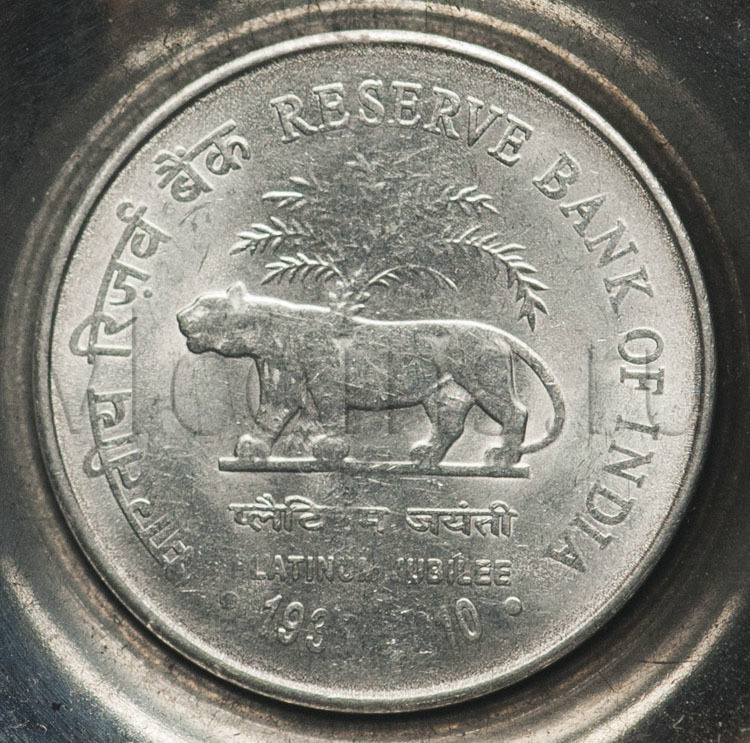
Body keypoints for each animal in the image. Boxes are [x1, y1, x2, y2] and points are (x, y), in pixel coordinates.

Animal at [176, 282, 565, 468]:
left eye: (204, 306)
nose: (180, 315)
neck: (269, 340)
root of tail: (498, 334)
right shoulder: (281, 384)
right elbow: (272, 417)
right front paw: (259, 448)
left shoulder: (327, 382)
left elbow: (329, 415)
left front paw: (330, 448)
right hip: (446, 395)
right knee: (451, 426)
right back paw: (425, 455)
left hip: (485, 382)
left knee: (516, 412)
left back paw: (502, 457)